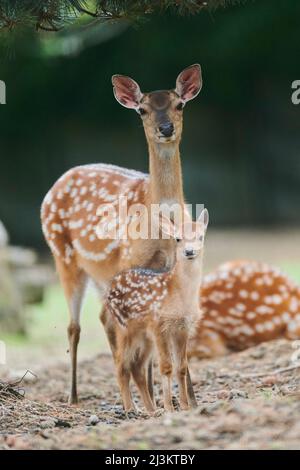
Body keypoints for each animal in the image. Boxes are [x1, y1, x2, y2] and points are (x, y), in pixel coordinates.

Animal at [41, 63, 203, 404]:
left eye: (179, 104)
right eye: (142, 110)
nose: (165, 128)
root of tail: (56, 184)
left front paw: (189, 401)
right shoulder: (131, 261)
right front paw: (160, 399)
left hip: (102, 275)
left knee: (104, 318)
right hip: (64, 255)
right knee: (75, 326)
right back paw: (73, 396)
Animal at [105, 211, 209, 414]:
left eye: (201, 237)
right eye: (178, 238)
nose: (189, 251)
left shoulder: (182, 328)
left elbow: (181, 367)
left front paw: (185, 406)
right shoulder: (159, 324)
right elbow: (166, 367)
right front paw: (169, 407)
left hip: (144, 336)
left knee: (137, 367)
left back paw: (151, 409)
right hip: (124, 327)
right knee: (121, 364)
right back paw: (131, 409)